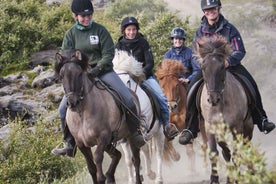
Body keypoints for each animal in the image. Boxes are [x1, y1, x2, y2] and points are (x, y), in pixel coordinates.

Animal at [55, 49, 143, 184]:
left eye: (79, 74)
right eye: (61, 76)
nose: (72, 103)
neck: (82, 115)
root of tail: (133, 94)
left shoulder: (102, 138)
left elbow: (97, 161)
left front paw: (103, 177)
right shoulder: (81, 144)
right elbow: (91, 168)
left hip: (130, 137)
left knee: (136, 160)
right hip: (110, 142)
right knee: (117, 155)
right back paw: (111, 176)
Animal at [112, 50, 165, 184]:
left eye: (128, 81)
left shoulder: (141, 132)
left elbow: (142, 154)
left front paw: (148, 174)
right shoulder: (124, 139)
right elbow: (128, 160)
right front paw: (132, 179)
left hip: (158, 131)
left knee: (158, 153)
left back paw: (158, 177)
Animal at [194, 36, 254, 184]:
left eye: (222, 67)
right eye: (203, 67)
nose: (213, 99)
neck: (220, 105)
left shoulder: (237, 127)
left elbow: (236, 152)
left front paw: (237, 177)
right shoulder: (211, 126)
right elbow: (216, 152)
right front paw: (215, 178)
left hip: (248, 126)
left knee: (246, 147)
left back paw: (251, 171)